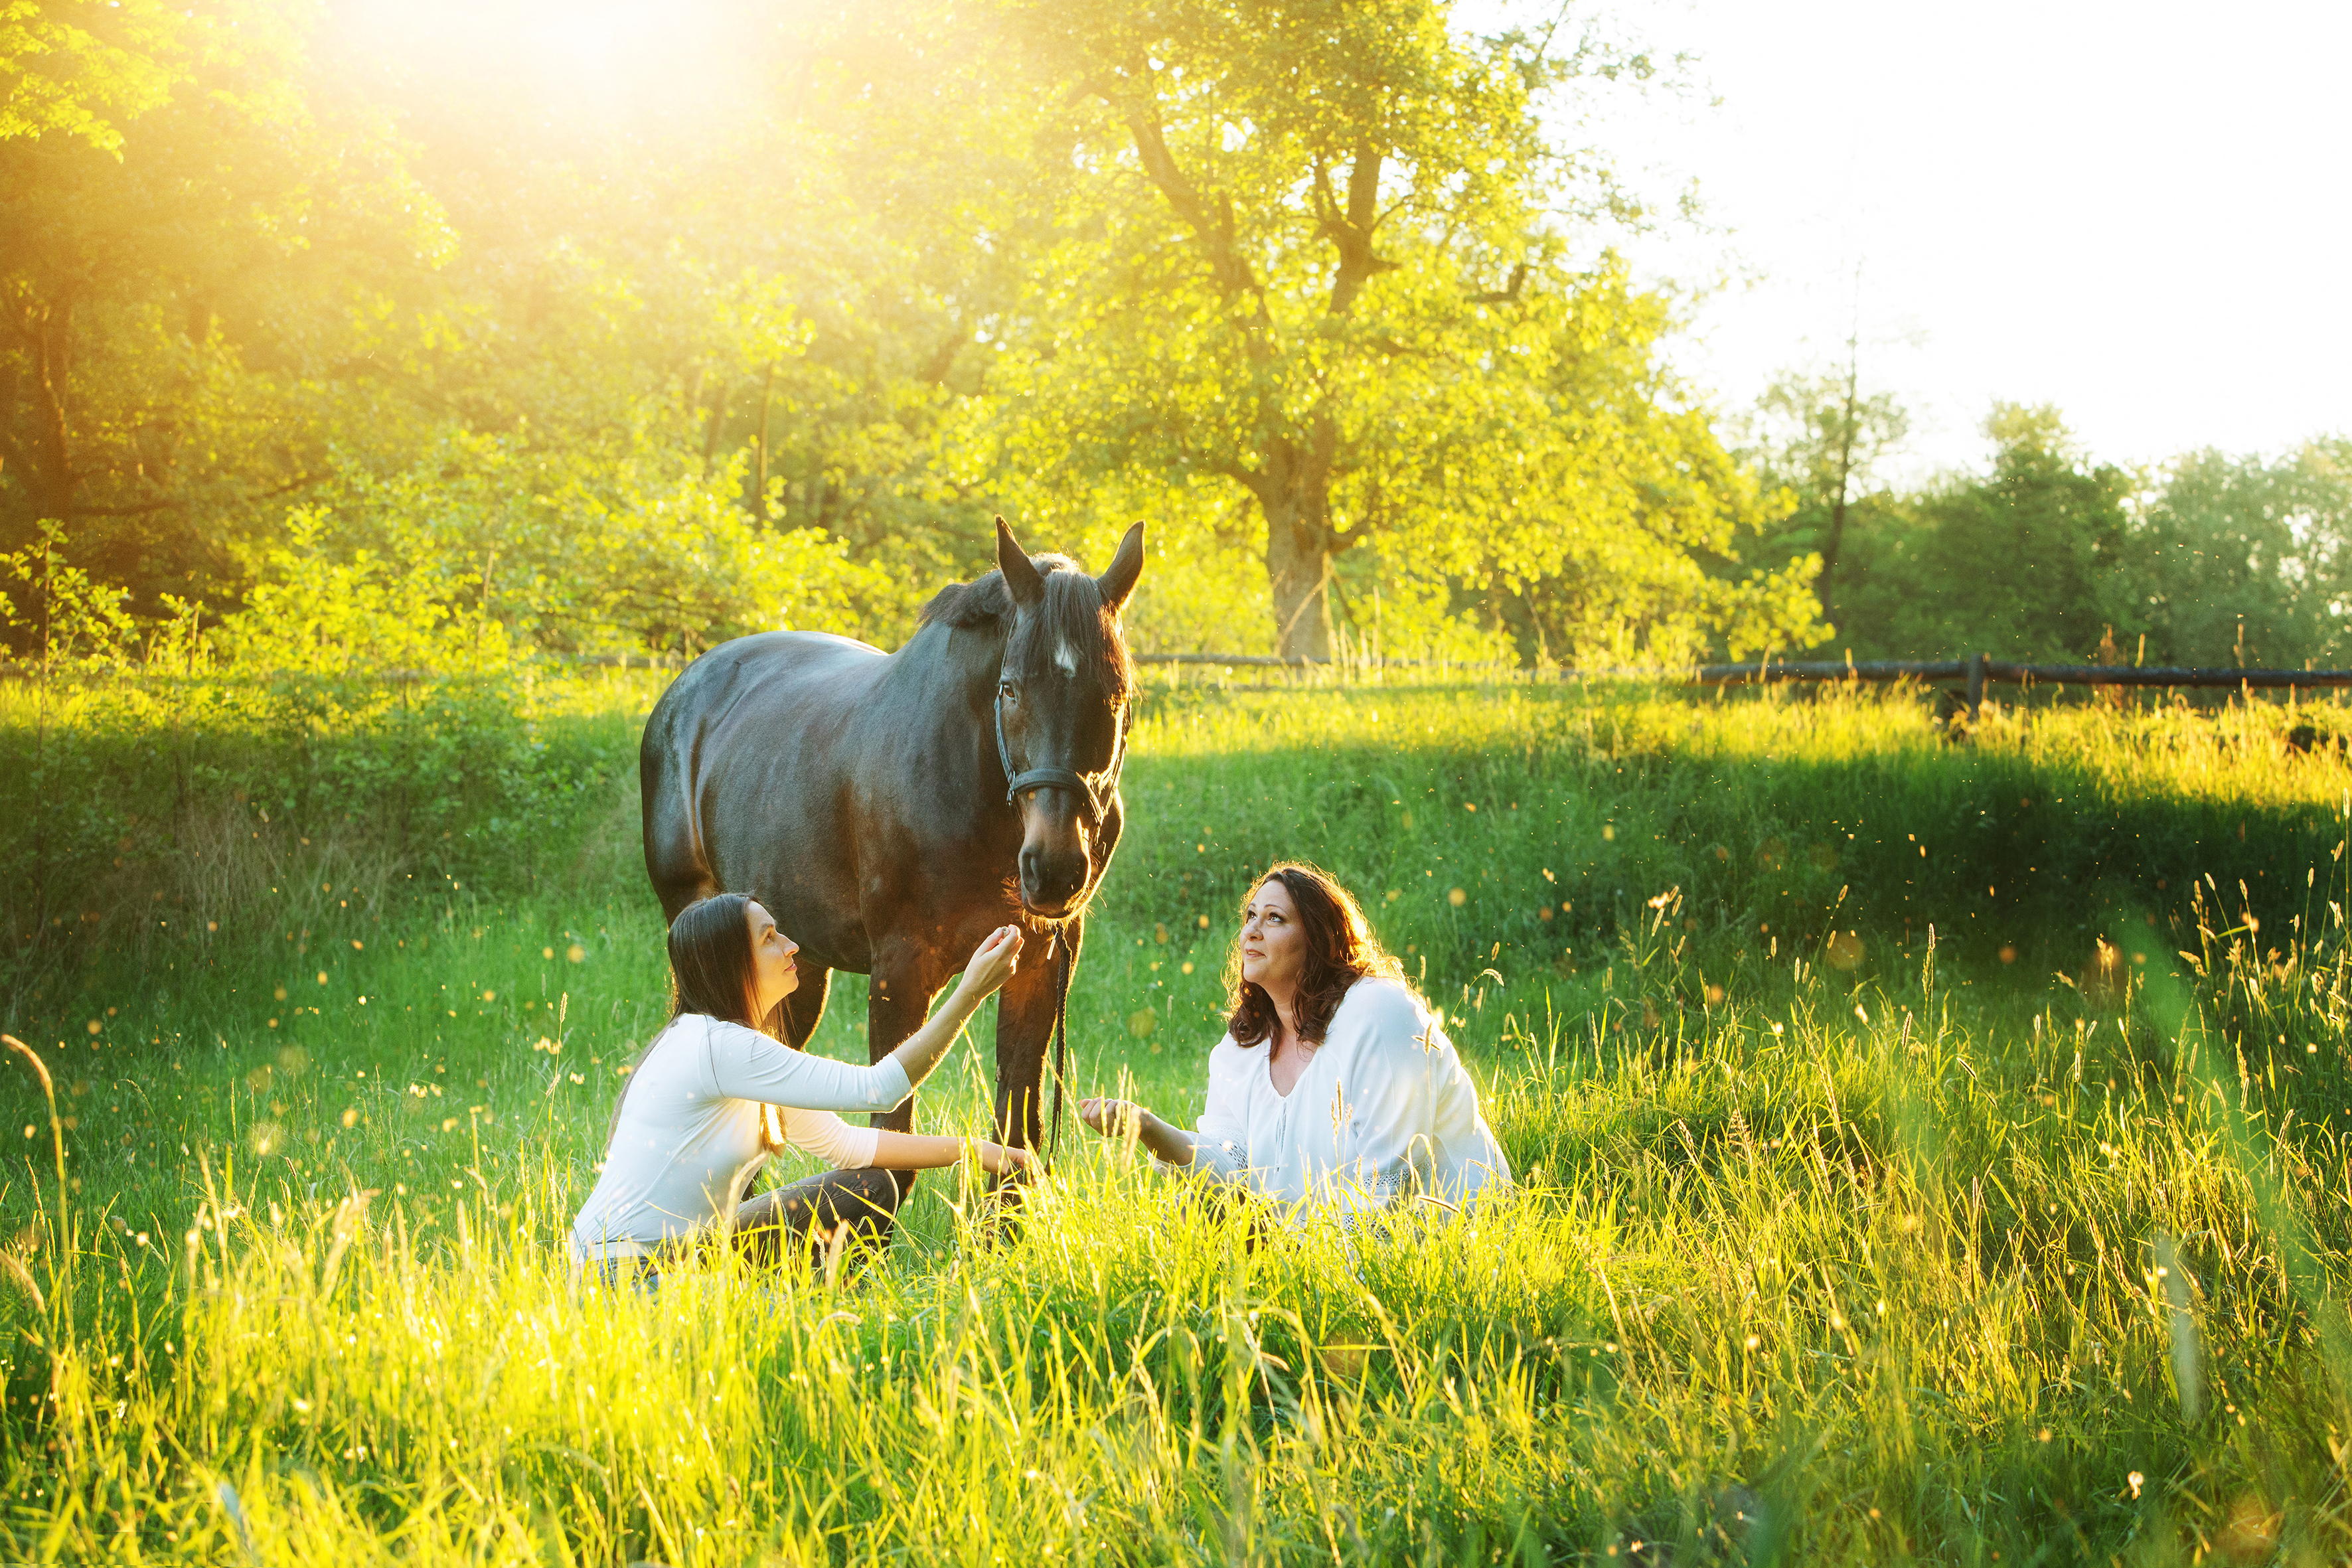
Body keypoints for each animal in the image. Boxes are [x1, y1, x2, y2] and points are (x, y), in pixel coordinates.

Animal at [639, 522, 1142, 1241]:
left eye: (1117, 693)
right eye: (1011, 688)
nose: (1054, 869)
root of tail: (686, 690)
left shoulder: (1039, 966)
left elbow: (1015, 1140)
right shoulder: (900, 971)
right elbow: (885, 1162)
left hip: (798, 965)